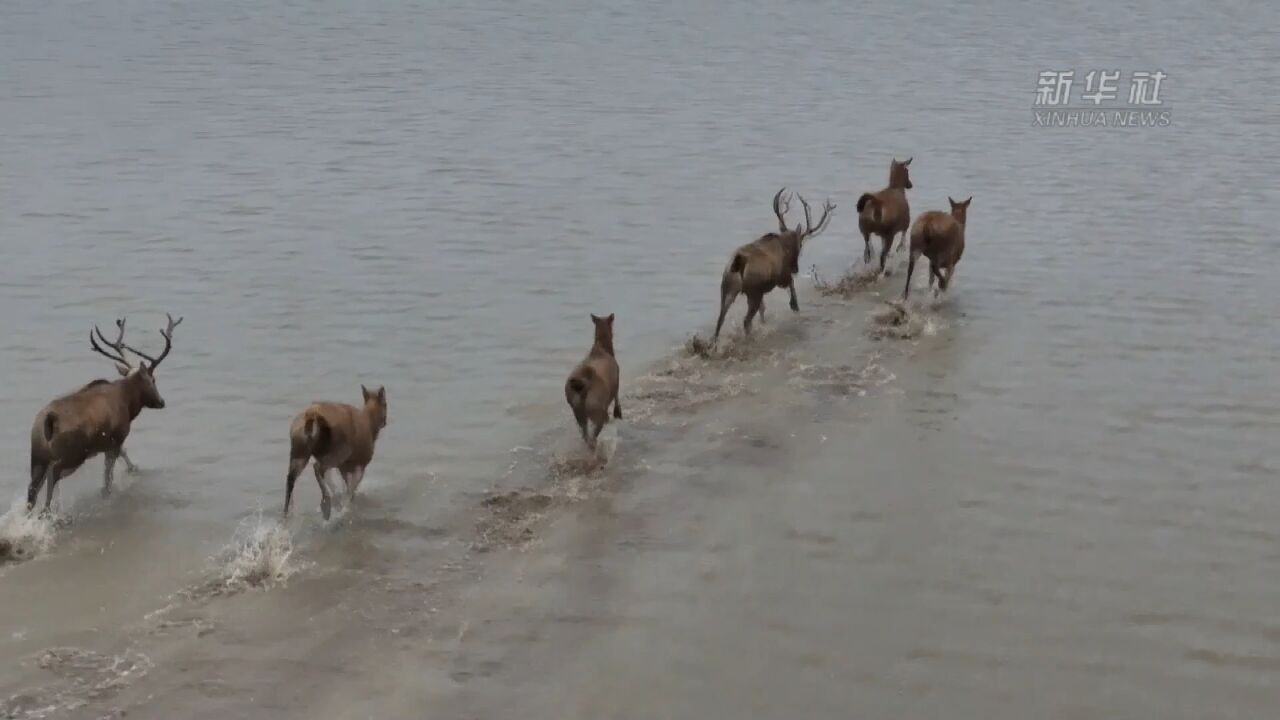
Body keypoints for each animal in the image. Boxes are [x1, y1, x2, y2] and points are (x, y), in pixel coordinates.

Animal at [28, 312, 183, 509]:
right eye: (153, 380)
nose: (161, 401)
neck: (129, 404)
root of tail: (49, 418)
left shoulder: (110, 443)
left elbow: (123, 458)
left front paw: (134, 469)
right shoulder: (116, 438)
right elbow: (108, 479)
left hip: (37, 455)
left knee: (32, 490)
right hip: (72, 454)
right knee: (52, 475)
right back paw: (49, 509)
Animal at [285, 384, 389, 517]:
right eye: (385, 404)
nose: (384, 422)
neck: (371, 425)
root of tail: (311, 416)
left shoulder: (344, 467)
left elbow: (342, 486)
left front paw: (340, 501)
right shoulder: (360, 463)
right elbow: (350, 490)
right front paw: (344, 507)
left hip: (299, 451)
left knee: (290, 479)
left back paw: (288, 513)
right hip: (340, 450)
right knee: (317, 467)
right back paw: (326, 504)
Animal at [565, 312, 619, 448]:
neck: (602, 346)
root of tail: (583, 386)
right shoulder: (617, 381)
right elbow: (617, 400)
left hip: (578, 413)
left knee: (586, 436)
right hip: (596, 413)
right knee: (592, 439)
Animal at [711, 188, 839, 345]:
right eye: (800, 245)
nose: (796, 268)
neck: (784, 245)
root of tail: (739, 262)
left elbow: (763, 310)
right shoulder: (781, 277)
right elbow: (791, 285)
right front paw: (794, 305)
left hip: (728, 288)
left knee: (720, 320)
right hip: (753, 292)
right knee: (746, 320)